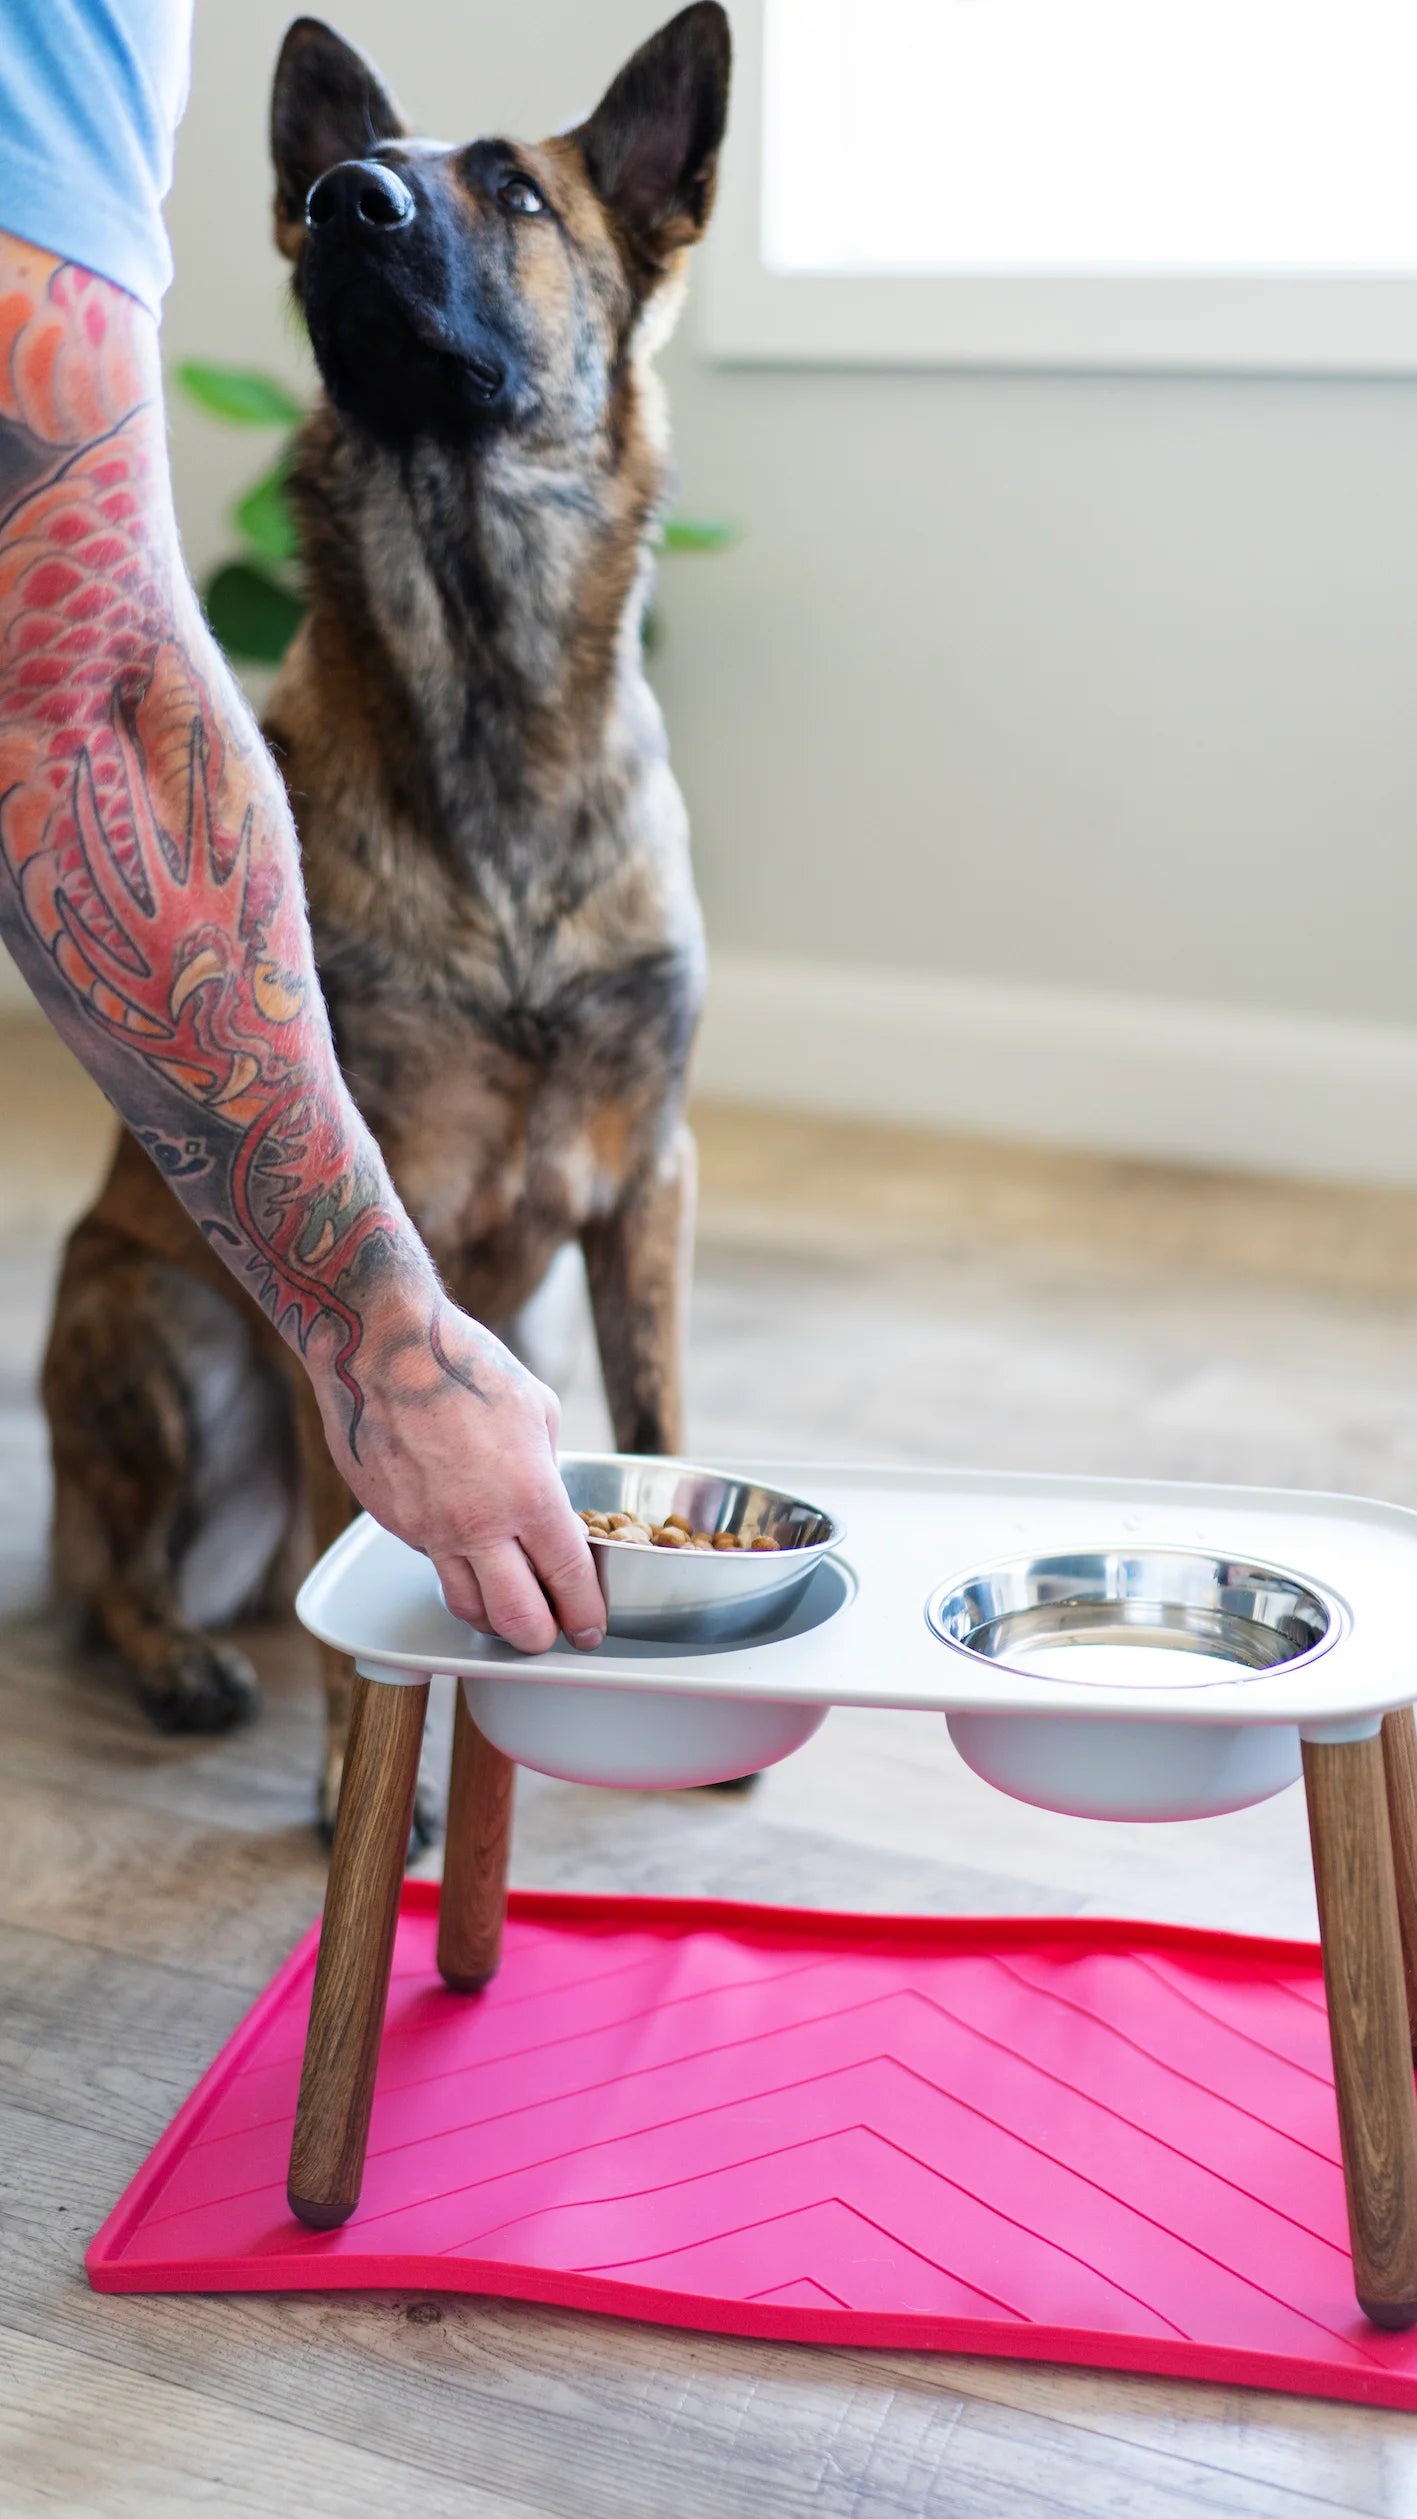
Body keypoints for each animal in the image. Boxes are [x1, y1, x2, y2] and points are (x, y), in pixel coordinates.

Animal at [44, 9, 729, 1843]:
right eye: (341, 188)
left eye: (513, 190)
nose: (347, 199)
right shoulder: (371, 1228)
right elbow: (372, 1531)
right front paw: (361, 1774)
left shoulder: (645, 1183)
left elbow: (659, 1407)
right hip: (161, 1325)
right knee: (116, 1572)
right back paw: (183, 1657)